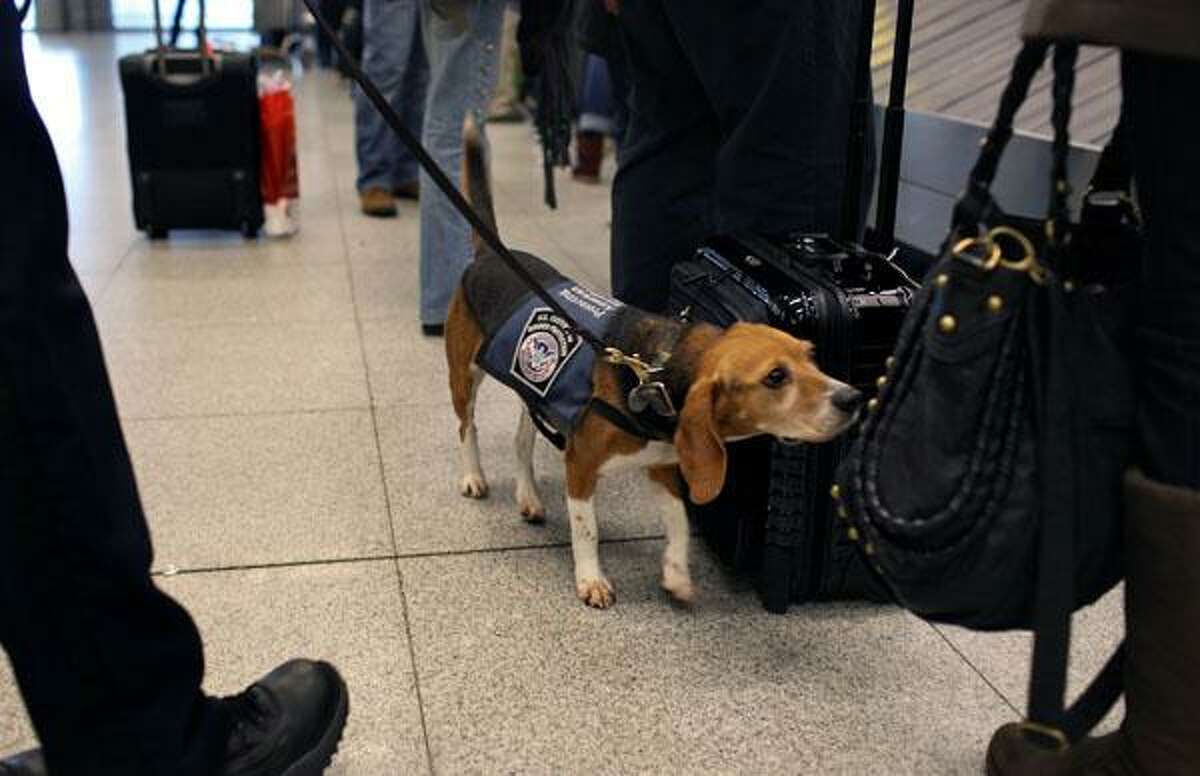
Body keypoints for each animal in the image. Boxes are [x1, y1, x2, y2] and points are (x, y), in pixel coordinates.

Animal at [444, 124, 864, 609]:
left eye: (811, 355)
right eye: (775, 377)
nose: (854, 398)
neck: (659, 373)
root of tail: (489, 256)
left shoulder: (664, 466)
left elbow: (679, 522)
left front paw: (677, 574)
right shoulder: (581, 464)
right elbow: (586, 531)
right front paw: (591, 579)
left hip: (536, 392)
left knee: (520, 442)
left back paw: (528, 496)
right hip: (464, 376)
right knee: (467, 427)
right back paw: (473, 476)